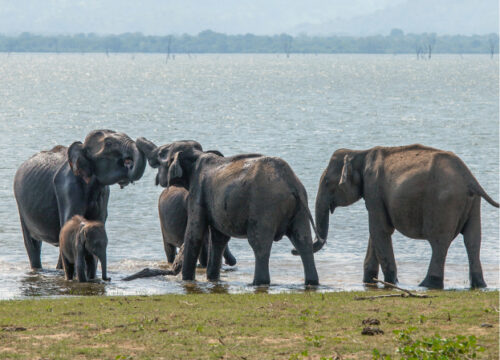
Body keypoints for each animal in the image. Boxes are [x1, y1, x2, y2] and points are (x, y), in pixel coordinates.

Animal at [13, 128, 146, 268]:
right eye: (109, 143)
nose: (142, 139)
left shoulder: (103, 193)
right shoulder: (68, 188)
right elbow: (69, 224)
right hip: (20, 205)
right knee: (32, 244)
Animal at [135, 138, 320, 286]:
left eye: (160, 155)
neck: (197, 155)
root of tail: (291, 182)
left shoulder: (197, 192)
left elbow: (194, 232)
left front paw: (187, 280)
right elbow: (219, 237)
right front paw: (212, 279)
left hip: (265, 206)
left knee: (259, 243)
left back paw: (257, 283)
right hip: (299, 208)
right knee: (303, 241)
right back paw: (311, 282)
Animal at [310, 143, 498, 290]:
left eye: (326, 182)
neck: (360, 152)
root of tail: (469, 178)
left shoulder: (374, 190)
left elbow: (380, 230)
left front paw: (391, 282)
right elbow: (375, 233)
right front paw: (369, 281)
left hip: (444, 203)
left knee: (439, 242)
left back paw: (428, 284)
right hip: (473, 203)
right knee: (472, 240)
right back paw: (479, 285)